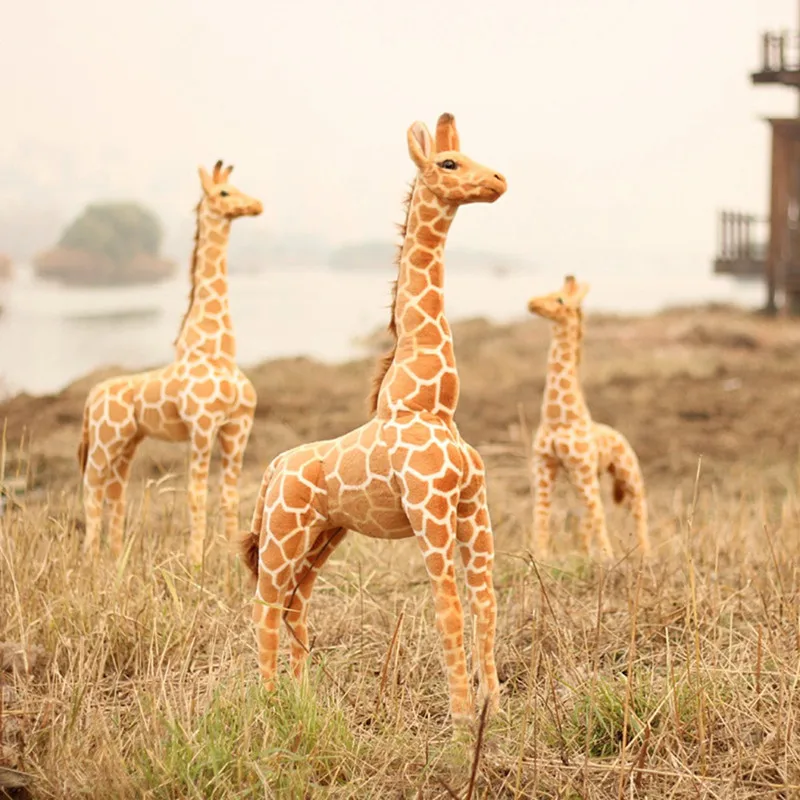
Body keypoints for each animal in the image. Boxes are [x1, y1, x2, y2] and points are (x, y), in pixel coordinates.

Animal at [78, 160, 262, 566]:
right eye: (224, 192)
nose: (257, 205)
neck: (218, 352)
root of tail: (91, 396)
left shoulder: (237, 426)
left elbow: (230, 497)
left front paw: (234, 560)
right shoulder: (202, 426)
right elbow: (196, 496)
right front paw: (195, 563)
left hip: (127, 443)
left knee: (115, 492)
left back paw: (116, 557)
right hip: (103, 441)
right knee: (91, 488)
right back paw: (89, 560)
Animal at [238, 113, 507, 727]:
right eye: (449, 162)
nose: (499, 181)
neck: (430, 401)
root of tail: (272, 469)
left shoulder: (471, 504)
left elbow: (485, 602)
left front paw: (495, 708)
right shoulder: (431, 508)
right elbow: (449, 608)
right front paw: (462, 720)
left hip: (323, 534)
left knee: (296, 603)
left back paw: (303, 701)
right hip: (285, 531)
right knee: (265, 604)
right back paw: (267, 705)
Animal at [527, 275, 651, 561]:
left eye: (560, 299)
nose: (531, 303)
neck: (558, 419)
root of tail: (620, 435)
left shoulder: (582, 466)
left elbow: (598, 513)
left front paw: (608, 558)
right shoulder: (544, 465)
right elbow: (541, 512)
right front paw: (539, 556)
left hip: (627, 472)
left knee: (637, 507)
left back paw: (646, 555)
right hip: (588, 475)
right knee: (588, 512)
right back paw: (584, 552)